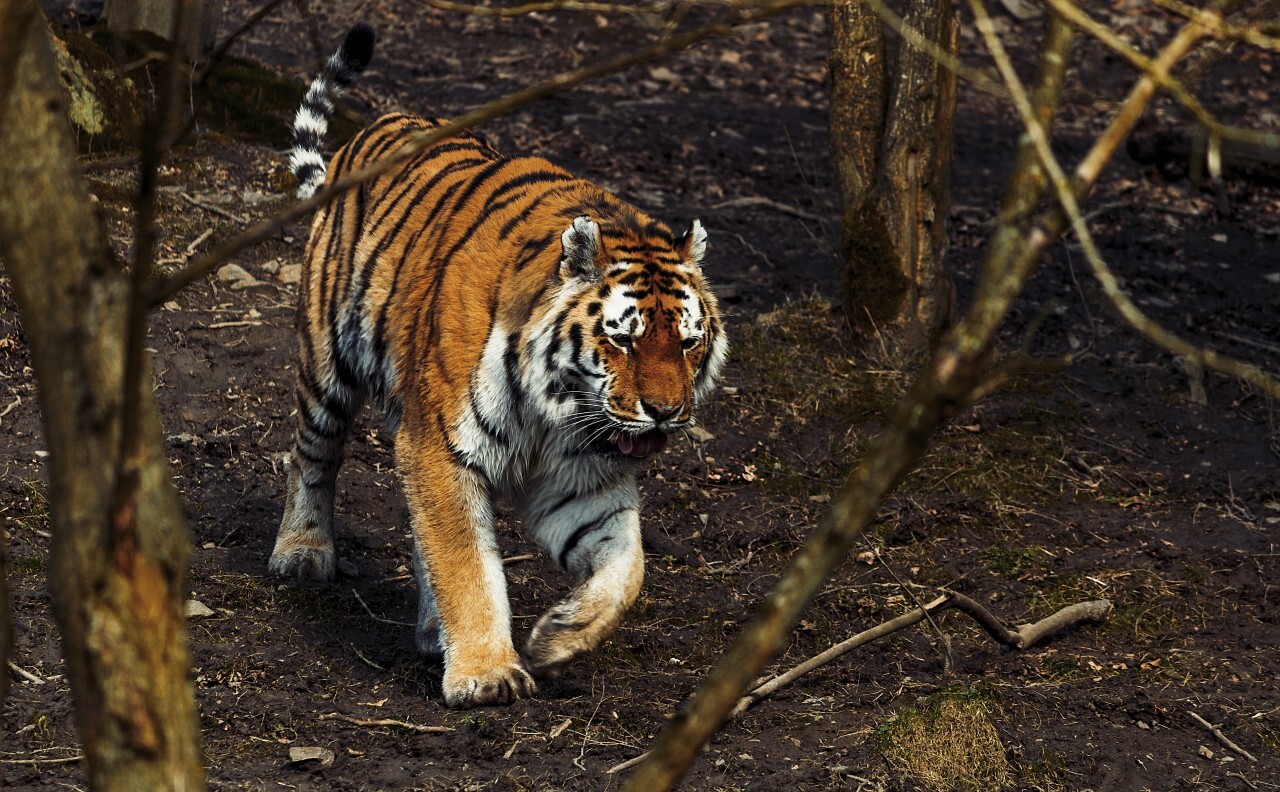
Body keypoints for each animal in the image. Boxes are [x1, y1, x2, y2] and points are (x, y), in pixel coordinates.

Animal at [267, 24, 732, 711]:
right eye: (623, 341)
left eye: (689, 344)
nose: (666, 413)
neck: (558, 404)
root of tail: (376, 125)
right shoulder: (439, 446)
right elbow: (465, 561)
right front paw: (486, 672)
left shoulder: (580, 478)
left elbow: (627, 566)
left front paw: (561, 635)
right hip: (328, 360)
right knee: (312, 455)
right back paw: (302, 552)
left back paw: (432, 631)